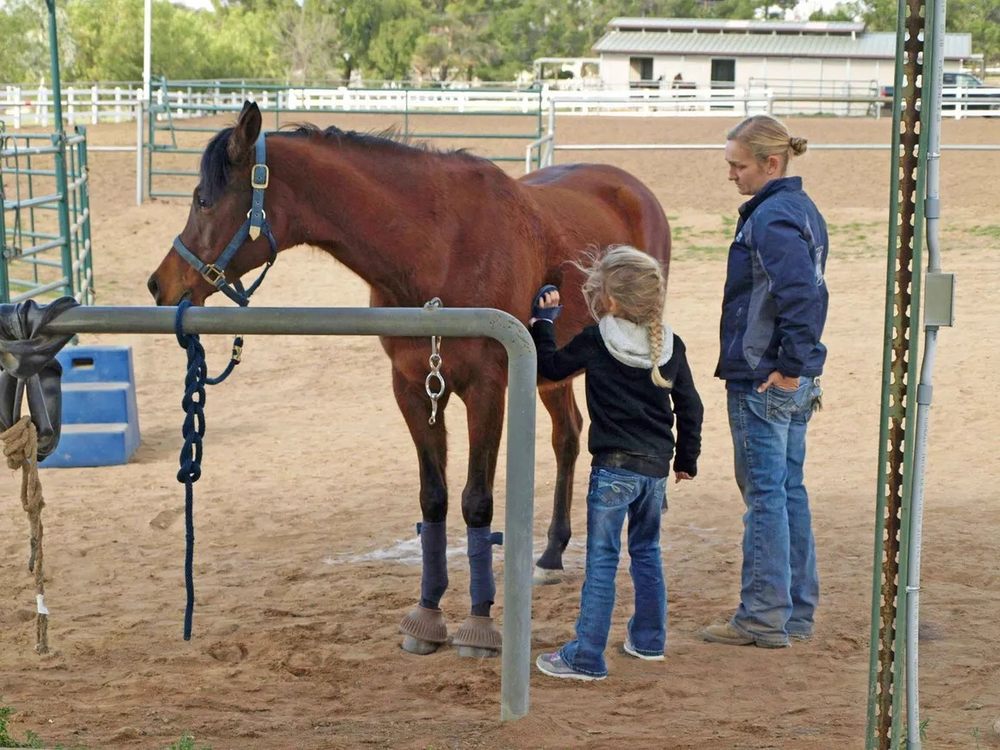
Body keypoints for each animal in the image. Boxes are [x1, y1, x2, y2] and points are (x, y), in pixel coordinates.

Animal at [148, 101, 671, 657]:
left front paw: (479, 626)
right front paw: (427, 615)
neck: (438, 249)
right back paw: (550, 554)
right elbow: (434, 498)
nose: (160, 284)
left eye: (204, 200)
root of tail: (630, 187)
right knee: (567, 437)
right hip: (552, 372)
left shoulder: (487, 389)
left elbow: (477, 503)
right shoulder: (413, 388)